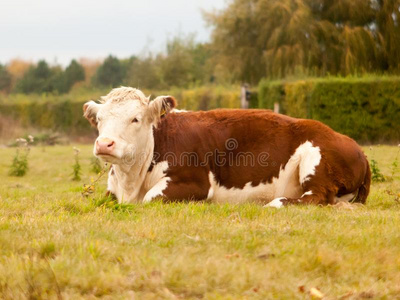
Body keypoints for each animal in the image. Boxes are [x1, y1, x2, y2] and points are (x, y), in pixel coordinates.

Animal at [83, 87, 370, 209]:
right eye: (100, 120)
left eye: (136, 119)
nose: (105, 143)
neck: (131, 181)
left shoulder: (194, 184)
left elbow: (149, 199)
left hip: (315, 156)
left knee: (317, 197)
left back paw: (274, 203)